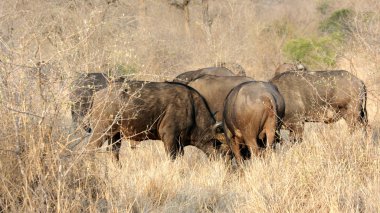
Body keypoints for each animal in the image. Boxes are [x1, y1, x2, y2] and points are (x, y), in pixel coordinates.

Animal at [88, 80, 226, 161]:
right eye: (225, 151)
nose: (228, 168)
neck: (192, 108)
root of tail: (97, 95)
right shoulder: (169, 137)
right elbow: (172, 158)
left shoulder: (180, 143)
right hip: (102, 131)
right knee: (91, 148)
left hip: (115, 135)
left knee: (114, 153)